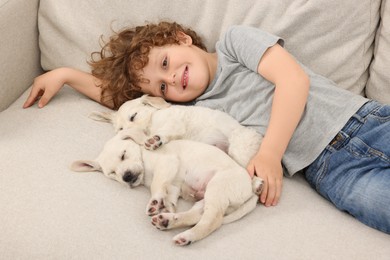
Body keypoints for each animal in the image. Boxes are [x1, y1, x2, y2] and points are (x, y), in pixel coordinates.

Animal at [71, 128, 264, 246]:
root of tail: (249, 188)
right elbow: (169, 194)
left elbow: (157, 184)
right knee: (197, 215)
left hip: (218, 187)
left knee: (212, 220)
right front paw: (166, 206)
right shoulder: (173, 185)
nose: (127, 177)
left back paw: (187, 236)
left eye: (123, 155)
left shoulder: (167, 163)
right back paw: (168, 221)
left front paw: (155, 202)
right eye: (112, 173)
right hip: (210, 197)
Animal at [90, 94, 264, 168]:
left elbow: (165, 131)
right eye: (120, 129)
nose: (123, 132)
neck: (152, 121)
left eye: (133, 117)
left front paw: (155, 140)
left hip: (239, 148)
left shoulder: (174, 122)